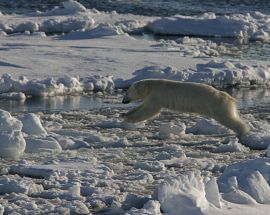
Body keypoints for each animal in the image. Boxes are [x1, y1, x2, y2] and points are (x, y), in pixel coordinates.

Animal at [121, 79, 250, 136]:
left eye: (126, 92)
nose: (123, 101)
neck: (151, 86)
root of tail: (229, 97)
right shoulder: (151, 96)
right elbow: (142, 106)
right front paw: (124, 114)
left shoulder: (157, 96)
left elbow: (150, 110)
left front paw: (130, 119)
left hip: (216, 104)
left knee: (227, 118)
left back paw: (242, 131)